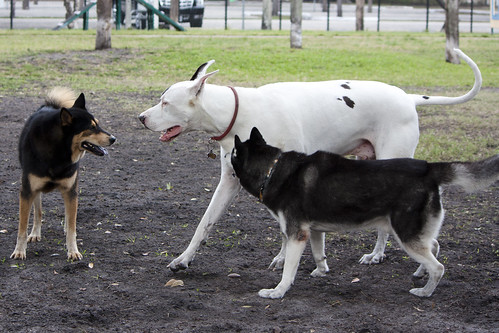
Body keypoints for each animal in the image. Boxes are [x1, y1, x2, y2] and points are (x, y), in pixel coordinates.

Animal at [11, 87, 115, 260]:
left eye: (98, 125)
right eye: (91, 127)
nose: (114, 138)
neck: (59, 151)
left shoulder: (71, 190)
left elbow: (72, 227)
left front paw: (73, 251)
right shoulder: (27, 191)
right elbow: (22, 227)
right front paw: (19, 250)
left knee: (68, 215)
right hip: (35, 190)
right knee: (38, 212)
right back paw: (35, 233)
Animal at [139, 48, 482, 274]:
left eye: (166, 103)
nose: (140, 118)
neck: (240, 113)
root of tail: (407, 97)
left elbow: (285, 230)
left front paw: (283, 259)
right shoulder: (229, 183)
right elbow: (204, 224)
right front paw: (184, 258)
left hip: (391, 163)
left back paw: (378, 254)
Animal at [232, 127, 498, 298]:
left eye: (233, 154)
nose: (220, 157)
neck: (273, 169)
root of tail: (428, 167)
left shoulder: (297, 235)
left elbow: (288, 269)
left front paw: (277, 291)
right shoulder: (313, 231)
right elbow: (319, 254)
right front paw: (321, 271)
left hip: (406, 235)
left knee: (438, 266)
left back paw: (425, 292)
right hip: (414, 232)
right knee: (434, 246)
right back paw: (420, 273)